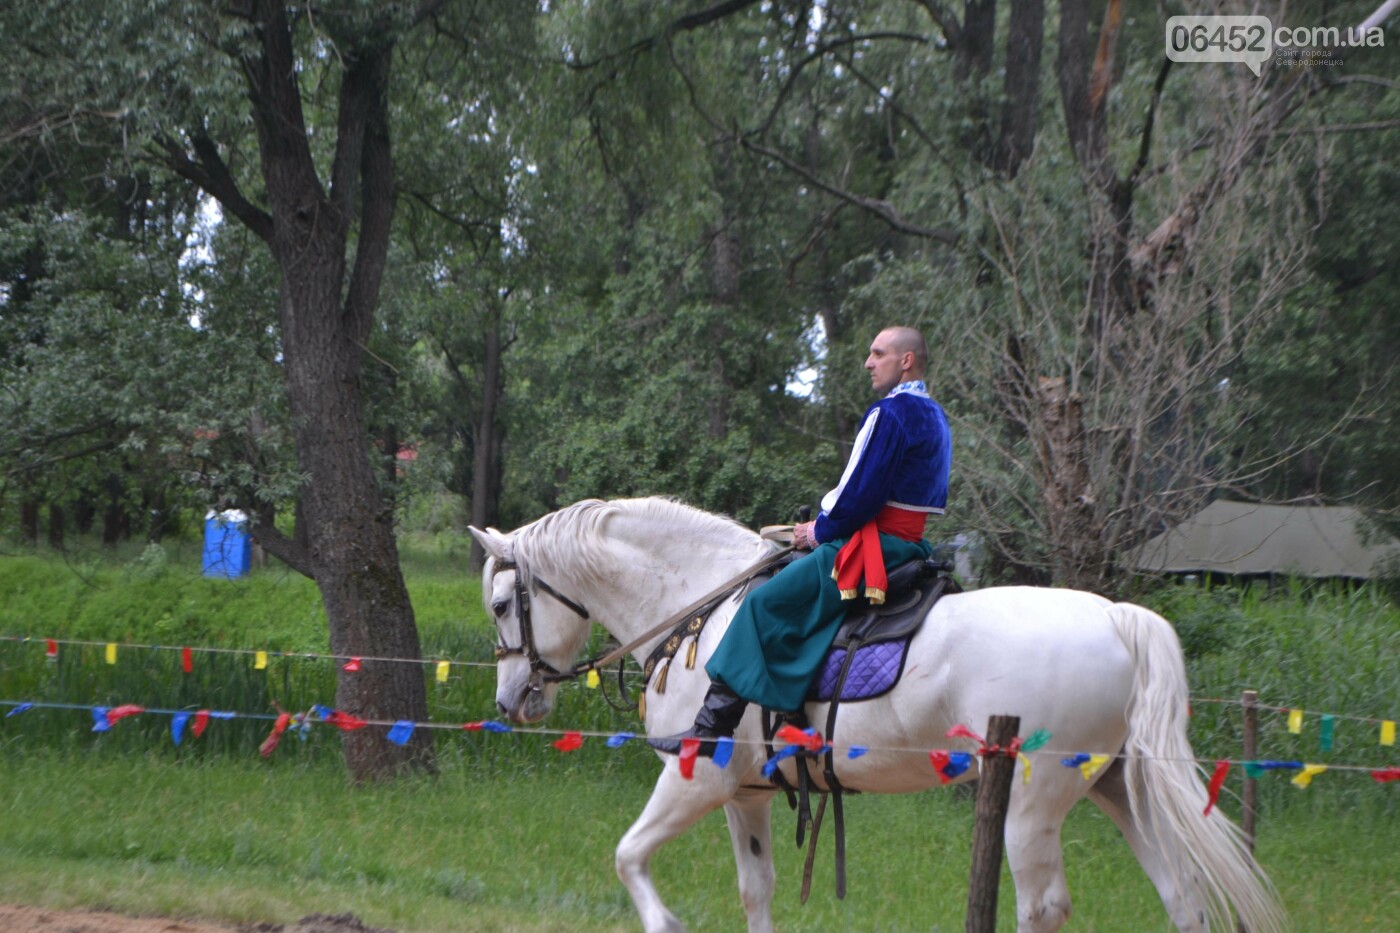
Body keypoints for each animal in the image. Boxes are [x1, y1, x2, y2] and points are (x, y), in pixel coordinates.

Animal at [467, 498, 1282, 930]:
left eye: (503, 604)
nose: (511, 700)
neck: (702, 603)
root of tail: (1116, 616)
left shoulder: (695, 780)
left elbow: (628, 857)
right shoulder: (747, 796)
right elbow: (755, 891)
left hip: (1034, 802)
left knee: (1044, 904)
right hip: (1118, 788)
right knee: (1182, 894)